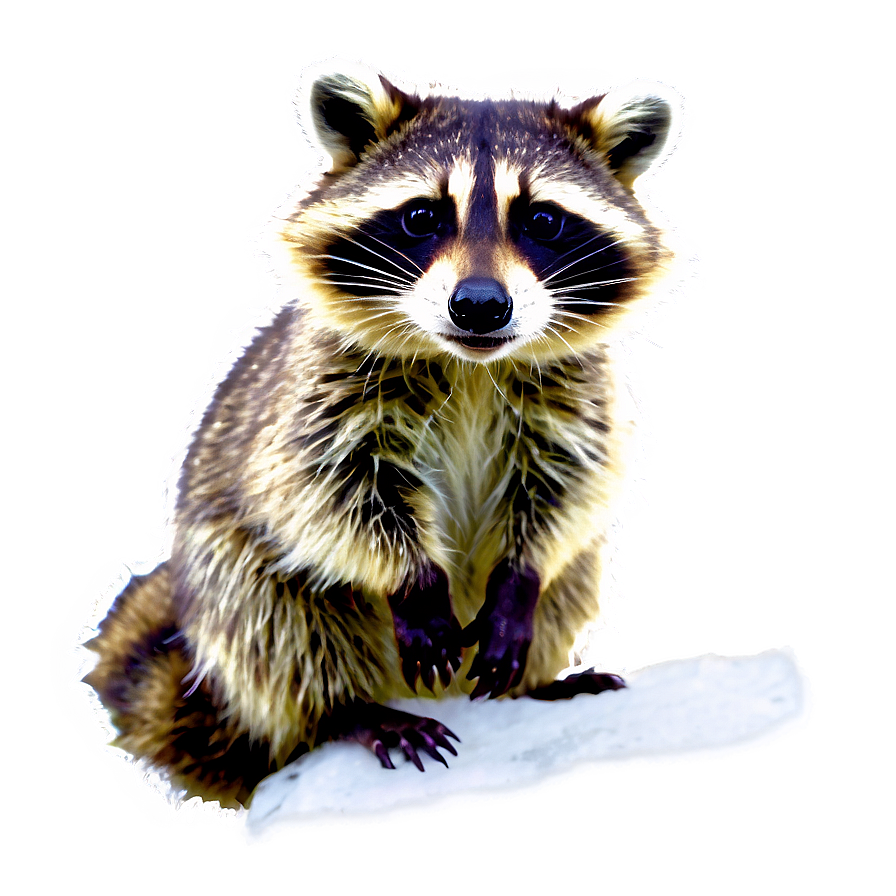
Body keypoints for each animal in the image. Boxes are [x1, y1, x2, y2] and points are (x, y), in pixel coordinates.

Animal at [77, 56, 696, 810]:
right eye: (422, 216)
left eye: (543, 219)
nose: (481, 306)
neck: (471, 367)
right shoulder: (317, 397)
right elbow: (327, 491)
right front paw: (413, 578)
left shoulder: (578, 395)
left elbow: (570, 491)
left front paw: (520, 579)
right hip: (221, 578)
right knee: (269, 613)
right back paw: (346, 711)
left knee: (573, 574)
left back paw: (535, 683)